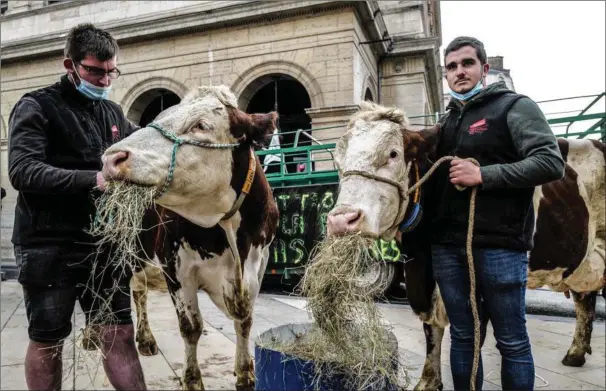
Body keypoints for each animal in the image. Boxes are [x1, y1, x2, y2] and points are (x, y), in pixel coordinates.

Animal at [98, 86, 282, 391]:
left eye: (201, 125)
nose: (111, 158)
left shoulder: (259, 264)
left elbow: (245, 322)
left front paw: (245, 374)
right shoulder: (176, 268)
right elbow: (191, 327)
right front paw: (192, 380)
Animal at [326, 102, 604, 391]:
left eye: (392, 153)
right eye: (338, 160)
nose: (341, 220)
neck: (422, 249)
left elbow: (473, 341)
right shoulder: (420, 279)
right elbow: (431, 331)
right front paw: (428, 381)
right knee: (585, 298)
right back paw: (576, 353)